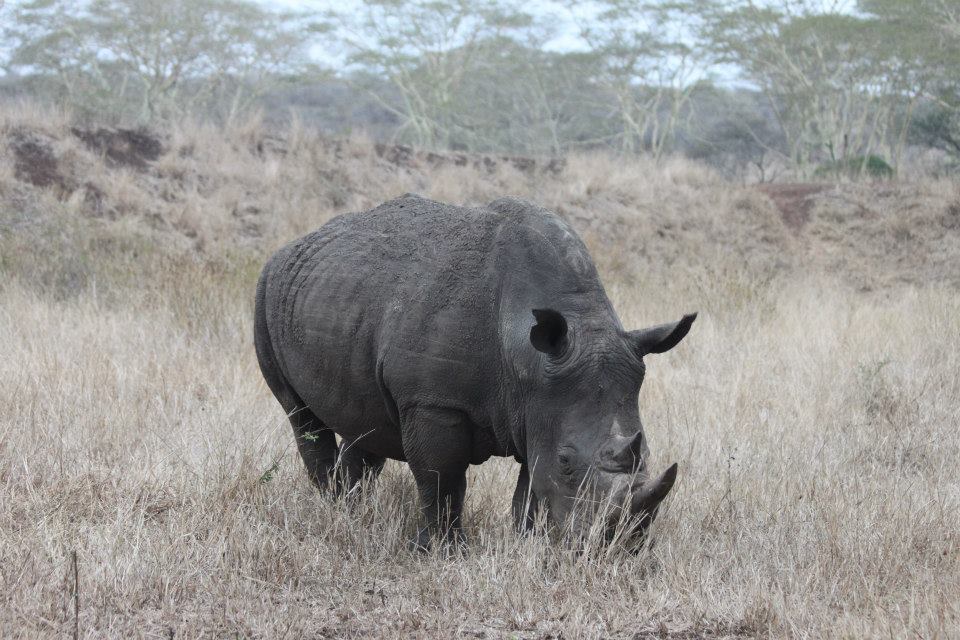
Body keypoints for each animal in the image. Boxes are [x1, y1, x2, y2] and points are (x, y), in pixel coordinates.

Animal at [251, 192, 692, 548]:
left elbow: (531, 485)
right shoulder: (432, 402)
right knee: (302, 416)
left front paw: (528, 544)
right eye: (568, 460)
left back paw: (353, 511)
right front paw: (443, 550)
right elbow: (442, 477)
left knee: (366, 422)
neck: (528, 358)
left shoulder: (540, 404)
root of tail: (293, 245)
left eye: (647, 453)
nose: (621, 547)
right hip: (265, 291)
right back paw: (333, 510)